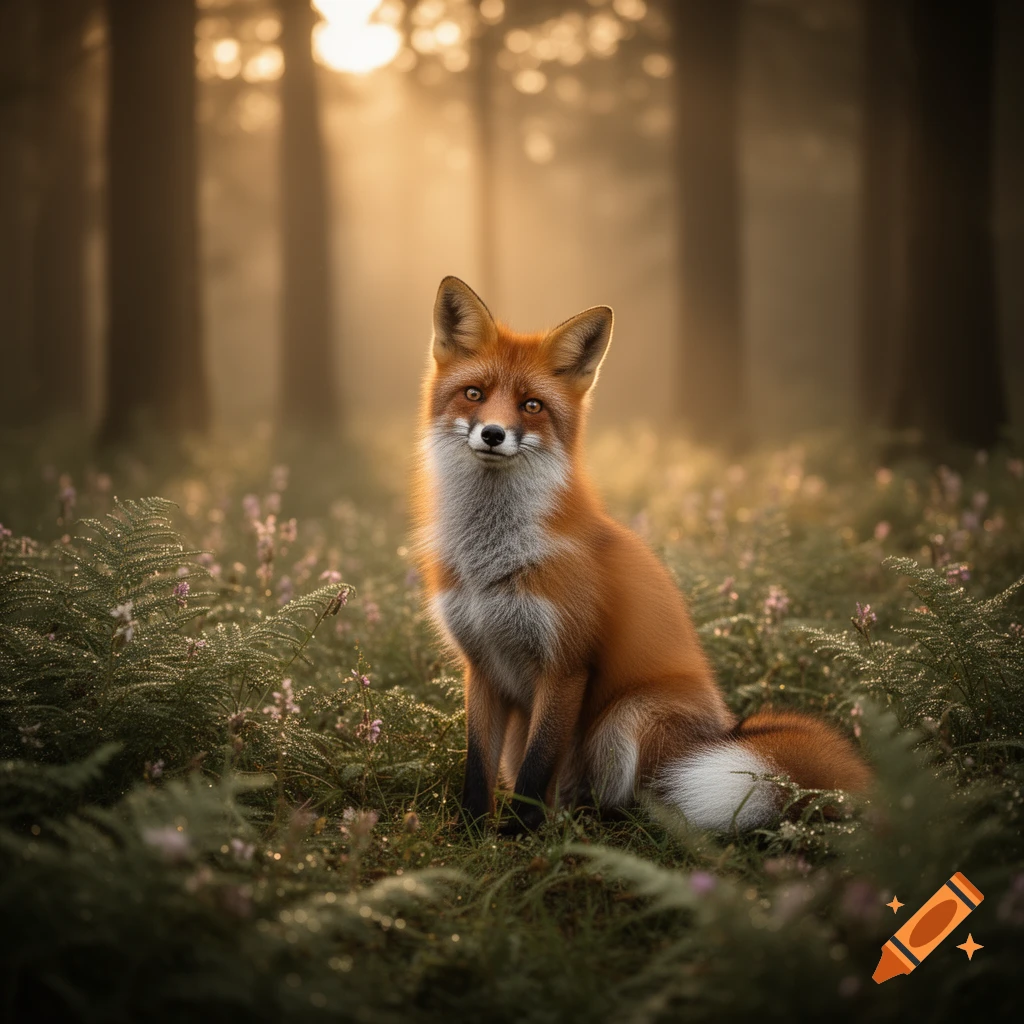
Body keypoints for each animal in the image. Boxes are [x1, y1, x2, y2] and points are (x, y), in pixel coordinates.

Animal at [412, 276, 871, 833]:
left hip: (628, 716)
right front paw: (471, 831)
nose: (493, 434)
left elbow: (536, 769)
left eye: (532, 406)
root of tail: (727, 729)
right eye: (474, 394)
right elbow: (477, 765)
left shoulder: (566, 664)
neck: (492, 560)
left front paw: (518, 834)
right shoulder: (481, 665)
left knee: (651, 801)